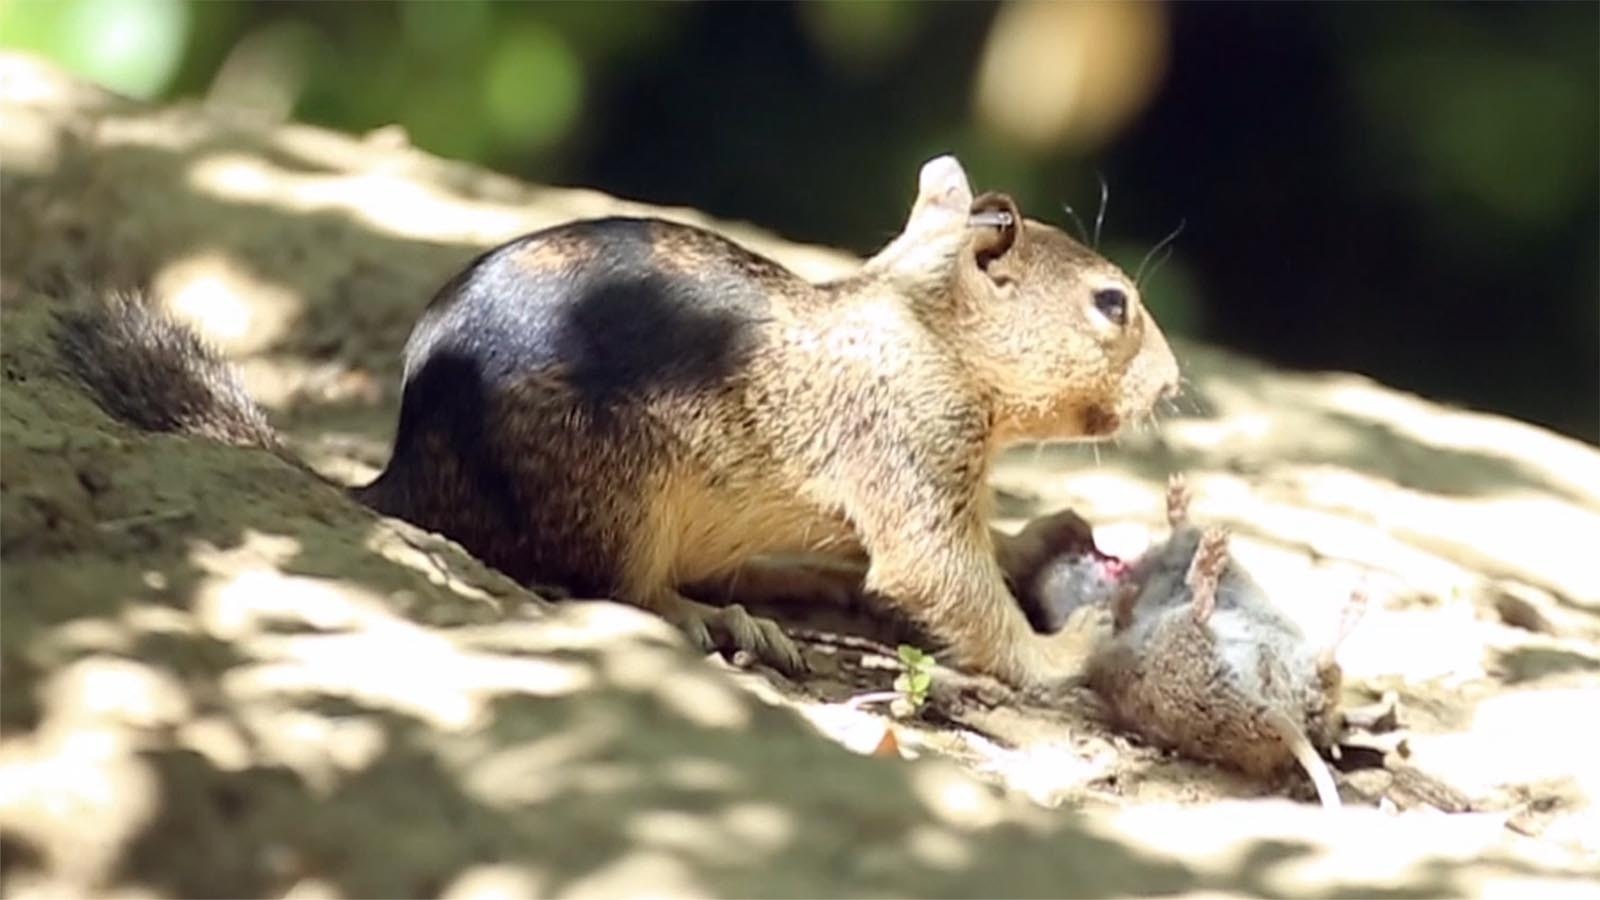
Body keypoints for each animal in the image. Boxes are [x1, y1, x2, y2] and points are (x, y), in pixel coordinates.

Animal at [56, 153, 1184, 685]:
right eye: (1112, 305)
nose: (1176, 388)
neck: (921, 327)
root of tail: (408, 474)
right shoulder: (910, 454)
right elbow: (943, 580)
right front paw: (1067, 649)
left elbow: (971, 553)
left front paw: (1045, 536)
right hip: (621, 493)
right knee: (619, 592)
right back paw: (720, 618)